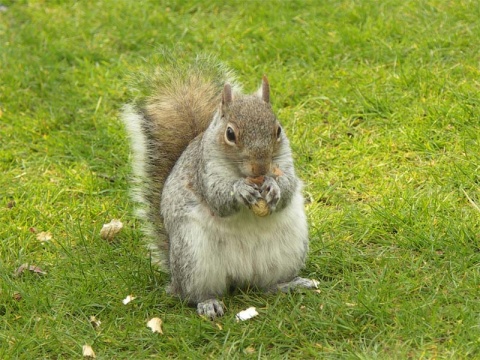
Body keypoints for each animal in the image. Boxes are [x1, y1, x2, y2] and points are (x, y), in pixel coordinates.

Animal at [123, 53, 318, 318]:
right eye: (230, 134)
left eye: (278, 130)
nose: (260, 168)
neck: (241, 173)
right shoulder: (204, 171)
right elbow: (218, 198)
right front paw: (241, 190)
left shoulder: (285, 162)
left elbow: (287, 186)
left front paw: (274, 187)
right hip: (194, 257)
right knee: (194, 294)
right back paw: (208, 303)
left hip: (287, 250)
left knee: (268, 285)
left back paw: (290, 284)